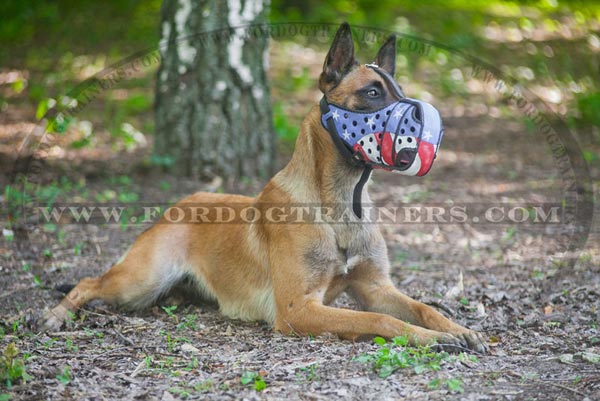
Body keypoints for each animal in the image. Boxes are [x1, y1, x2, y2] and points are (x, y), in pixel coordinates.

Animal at [41, 22, 488, 354]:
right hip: (140, 280)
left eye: (399, 91)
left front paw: (455, 328)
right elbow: (380, 319)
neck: (341, 202)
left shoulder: (376, 288)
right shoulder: (297, 309)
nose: (426, 122)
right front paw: (432, 339)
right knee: (88, 283)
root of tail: (180, 203)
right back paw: (53, 315)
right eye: (373, 93)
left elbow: (422, 308)